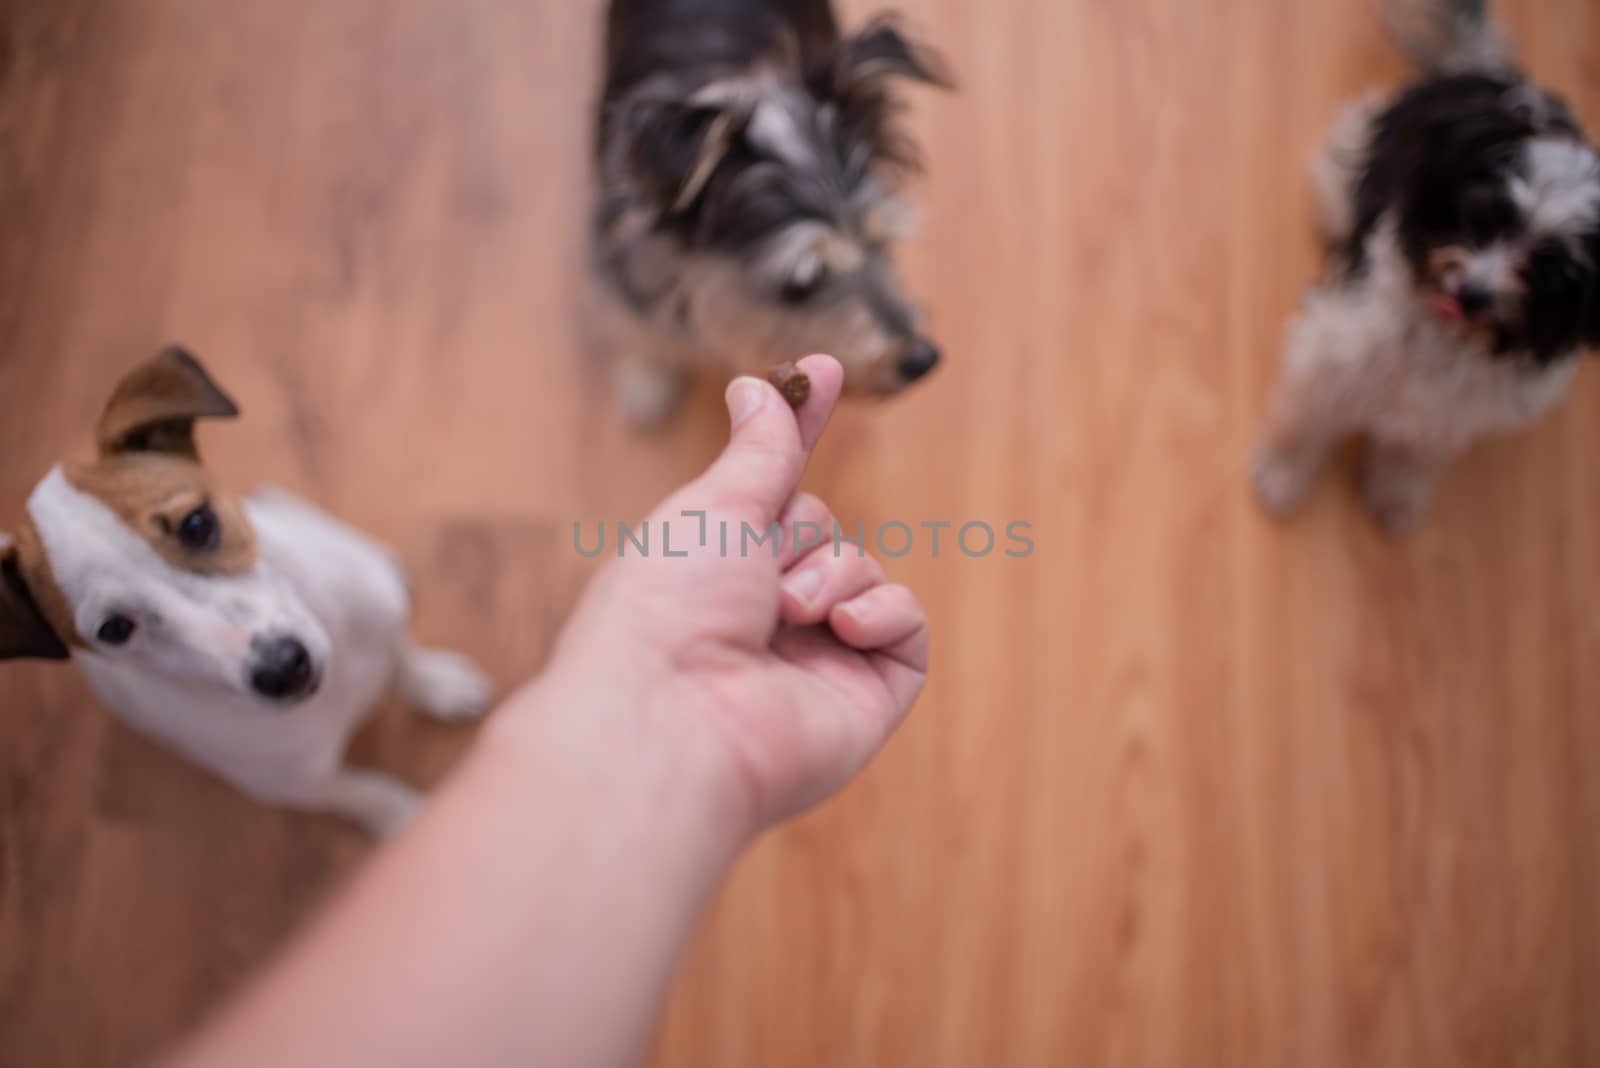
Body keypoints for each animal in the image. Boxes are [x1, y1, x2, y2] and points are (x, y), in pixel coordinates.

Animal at [0, 348, 489, 831]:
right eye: (115, 629)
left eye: (197, 524)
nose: (284, 669)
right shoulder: (297, 784)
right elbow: (366, 793)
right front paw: (410, 818)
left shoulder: (381, 619)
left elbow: (405, 661)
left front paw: (439, 684)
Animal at [588, 0, 947, 425]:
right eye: (801, 285)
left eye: (883, 244)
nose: (922, 360)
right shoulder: (624, 258)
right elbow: (643, 326)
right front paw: (648, 382)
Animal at [1254, 0, 1593, 534]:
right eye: (1481, 218)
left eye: (1548, 273)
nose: (1472, 294)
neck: (1444, 339)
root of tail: (1480, 70)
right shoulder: (1333, 350)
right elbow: (1308, 417)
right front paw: (1283, 474)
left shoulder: (1451, 412)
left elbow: (1414, 451)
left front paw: (1396, 496)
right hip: (1347, 158)